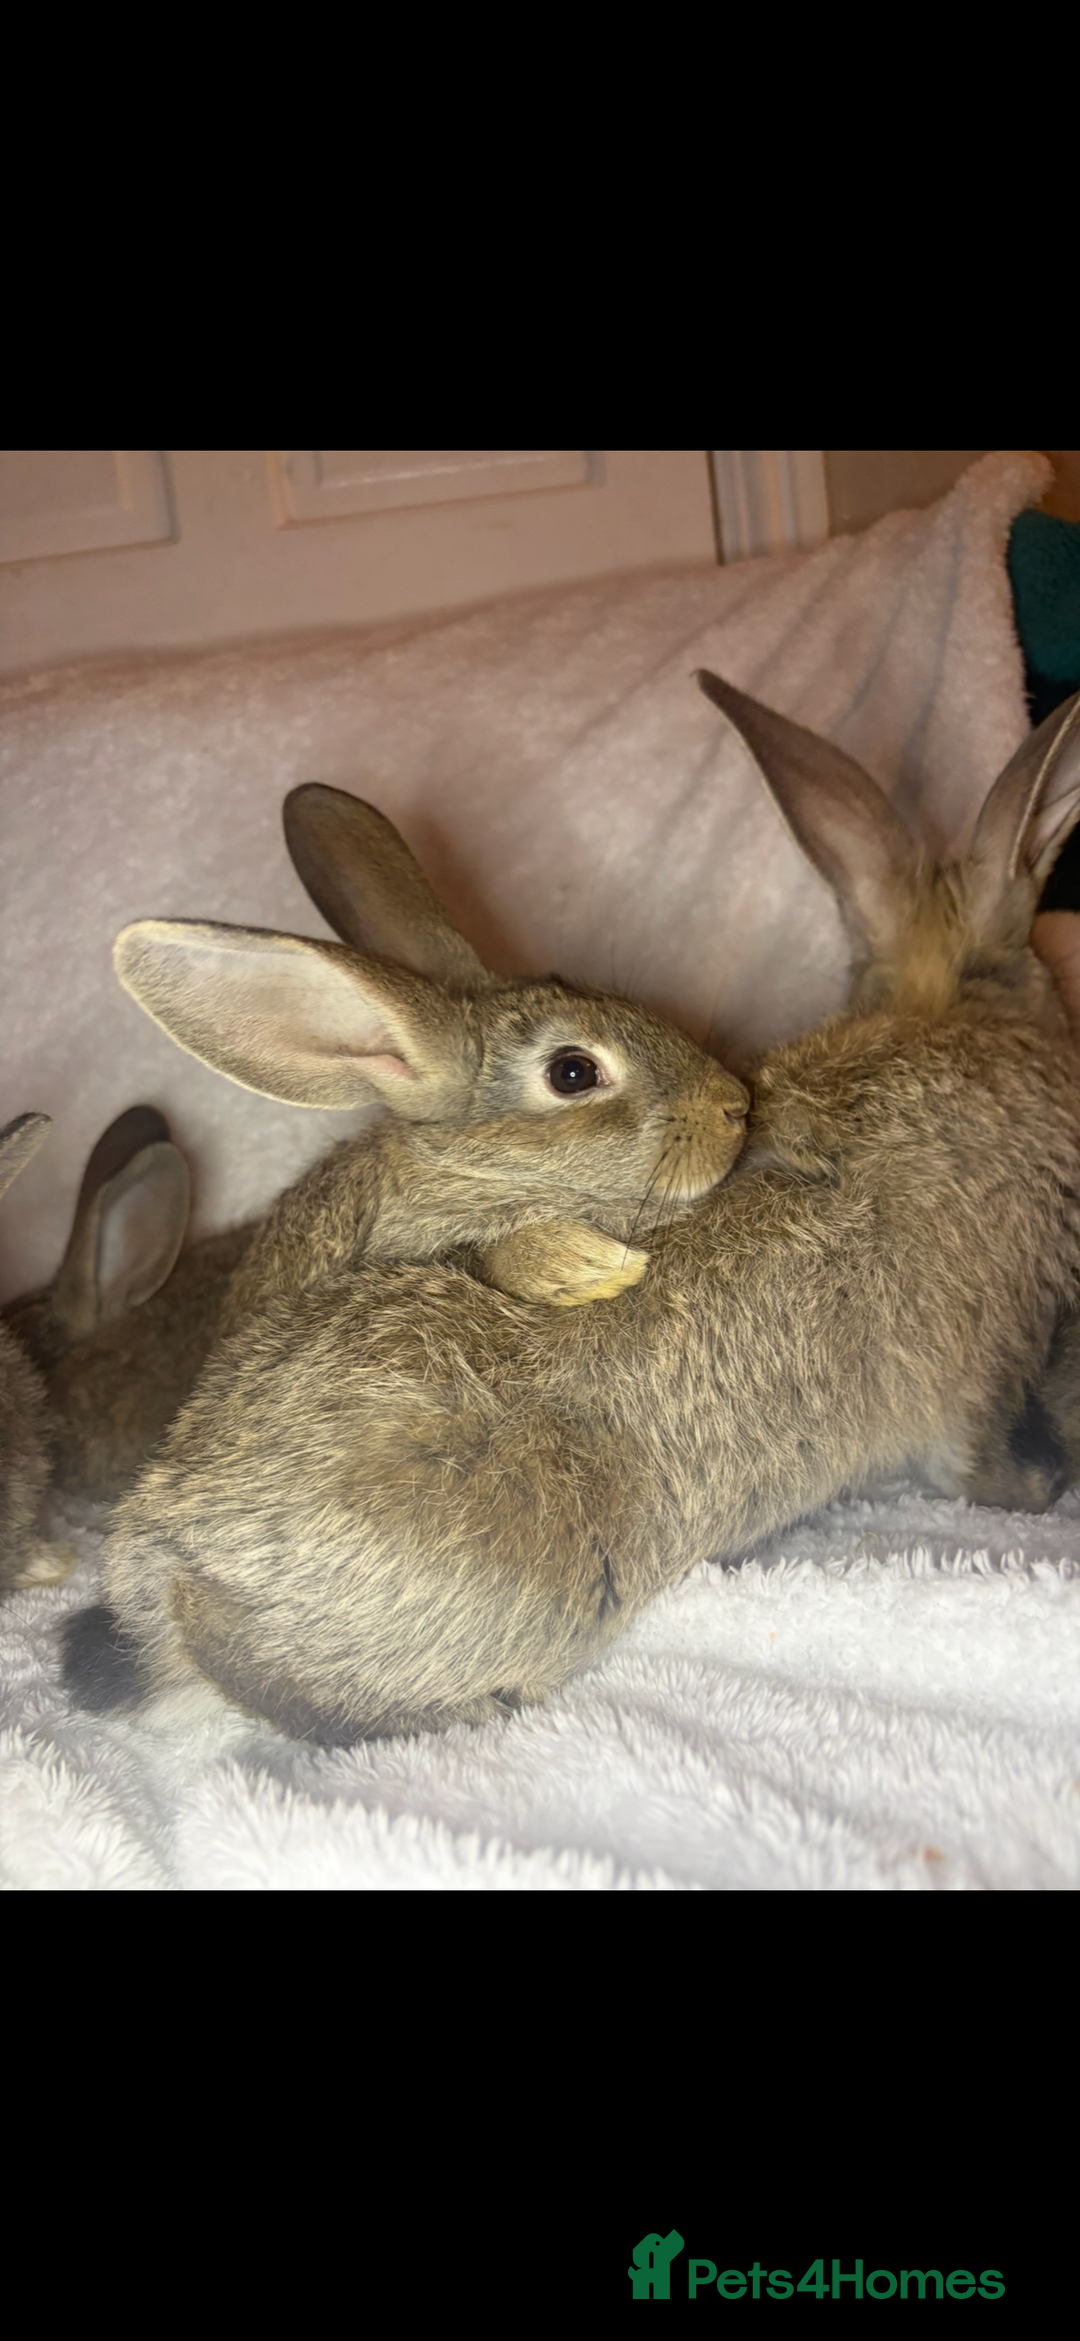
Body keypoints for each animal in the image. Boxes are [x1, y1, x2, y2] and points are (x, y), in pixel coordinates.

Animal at [61, 674, 1080, 1745]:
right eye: (574, 1072)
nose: (734, 1104)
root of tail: (161, 1556)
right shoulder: (992, 1356)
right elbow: (980, 1455)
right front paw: (1039, 1486)